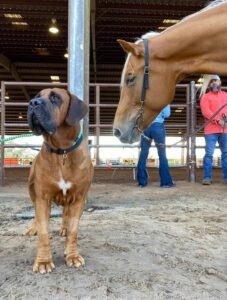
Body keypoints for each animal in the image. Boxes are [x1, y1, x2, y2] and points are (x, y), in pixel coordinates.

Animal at [24, 88, 92, 274]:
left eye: (55, 98)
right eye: (37, 96)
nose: (33, 103)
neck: (62, 151)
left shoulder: (79, 198)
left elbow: (74, 230)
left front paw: (72, 256)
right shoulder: (42, 197)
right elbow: (43, 232)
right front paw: (43, 261)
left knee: (66, 215)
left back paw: (64, 228)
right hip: (31, 190)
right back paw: (33, 228)